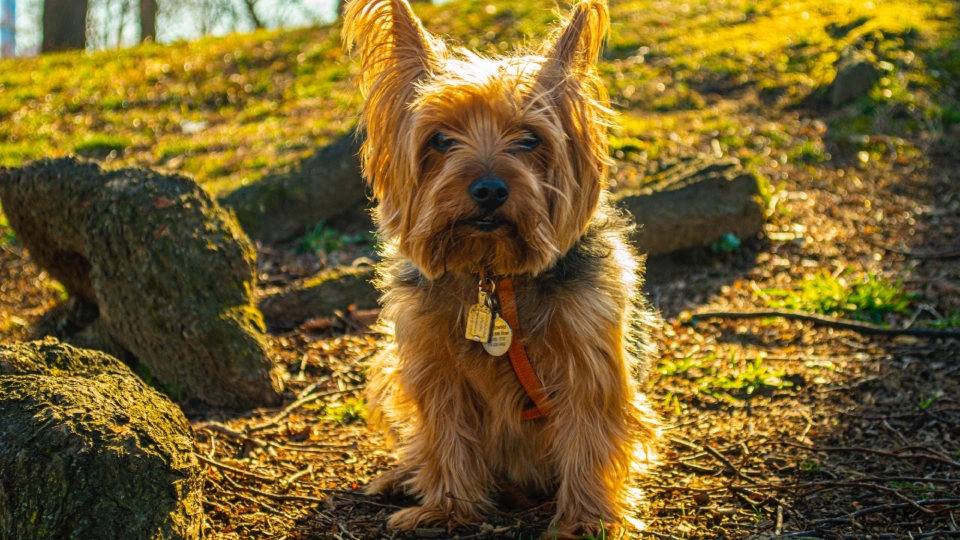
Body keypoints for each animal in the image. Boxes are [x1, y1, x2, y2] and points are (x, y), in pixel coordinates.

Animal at [344, 0, 660, 532]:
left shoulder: (586, 355)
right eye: (441, 140)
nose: (489, 188)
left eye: (529, 140)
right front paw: (447, 508)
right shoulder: (432, 360)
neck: (491, 274)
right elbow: (445, 429)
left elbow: (589, 429)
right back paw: (403, 476)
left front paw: (586, 519)